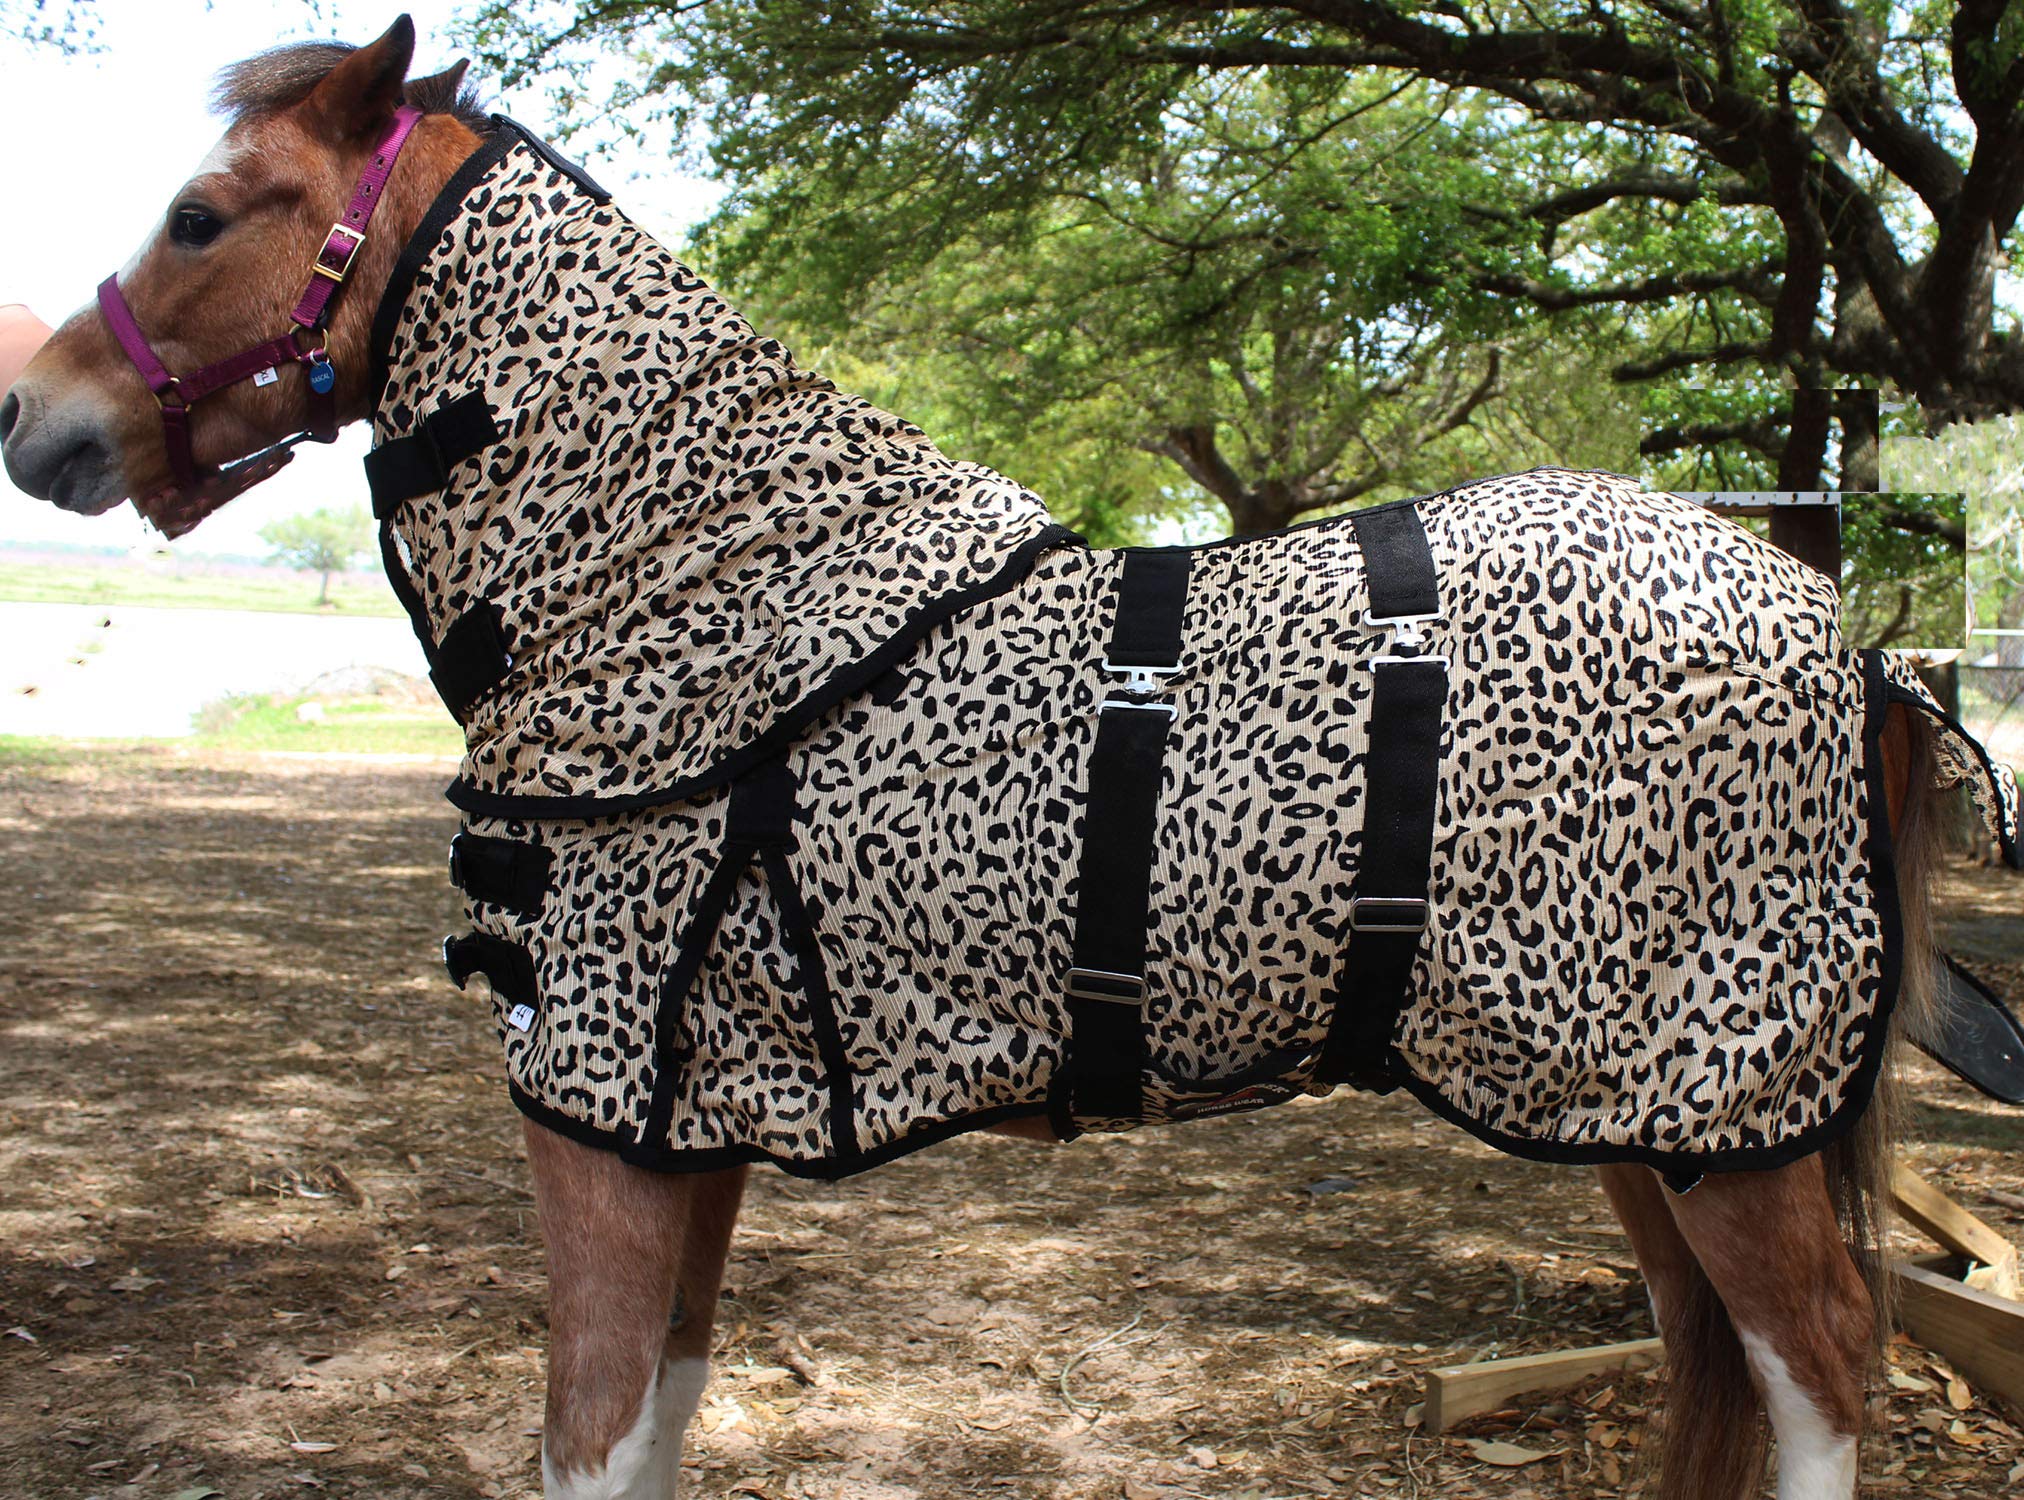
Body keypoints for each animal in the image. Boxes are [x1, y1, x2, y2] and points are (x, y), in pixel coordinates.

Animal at [0, 17, 1989, 1500]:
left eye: (200, 216)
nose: (36, 417)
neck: (695, 582)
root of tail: (1849, 640)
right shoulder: (683, 1125)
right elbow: (662, 1417)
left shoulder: (597, 1116)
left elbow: (589, 1435)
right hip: (1633, 1114)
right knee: (1720, 1361)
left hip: (1718, 1110)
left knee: (1823, 1367)